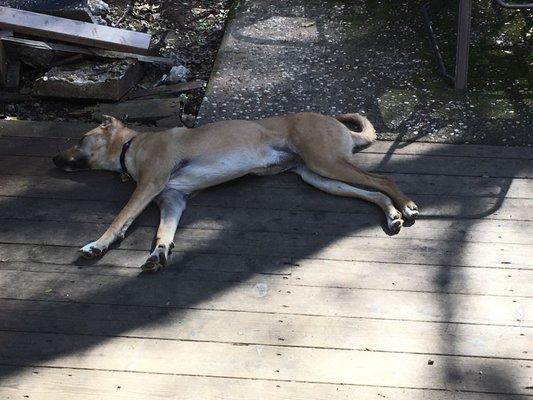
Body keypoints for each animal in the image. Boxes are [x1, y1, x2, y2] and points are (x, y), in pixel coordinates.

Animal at [53, 112, 420, 272]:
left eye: (80, 139)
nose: (53, 159)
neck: (133, 145)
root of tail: (337, 123)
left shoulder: (150, 185)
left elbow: (119, 220)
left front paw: (97, 245)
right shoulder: (172, 200)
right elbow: (163, 234)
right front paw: (158, 254)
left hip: (326, 162)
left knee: (383, 180)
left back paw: (406, 205)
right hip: (318, 176)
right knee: (373, 191)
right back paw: (391, 214)